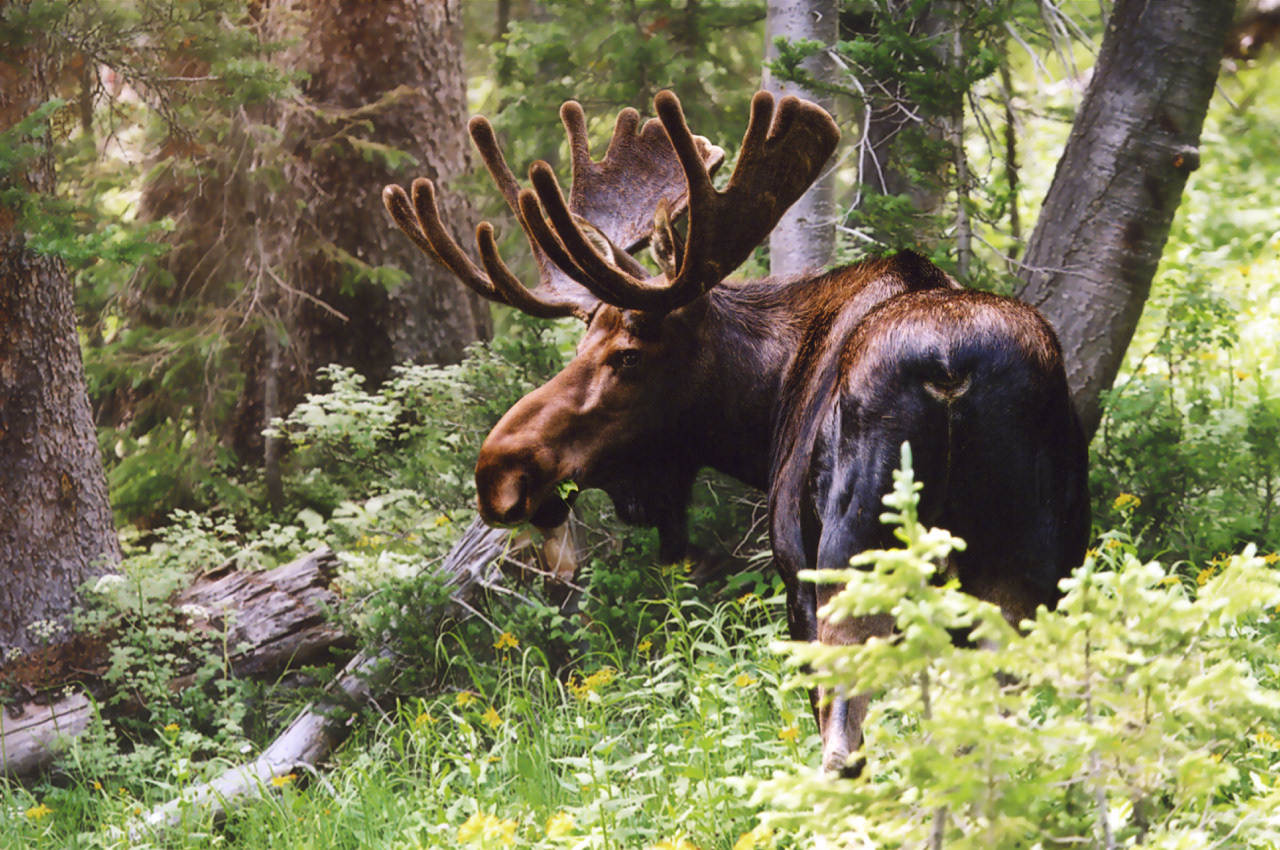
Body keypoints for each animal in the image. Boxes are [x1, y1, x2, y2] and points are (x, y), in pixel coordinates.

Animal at [381, 89, 1090, 773]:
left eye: (627, 356)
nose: (497, 471)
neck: (766, 406)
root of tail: (949, 370)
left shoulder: (796, 579)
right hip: (1031, 573)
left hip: (852, 562)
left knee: (846, 748)